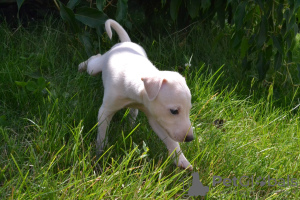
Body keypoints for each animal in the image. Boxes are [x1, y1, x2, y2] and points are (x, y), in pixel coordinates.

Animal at [78, 19, 193, 169]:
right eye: (174, 111)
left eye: (189, 110)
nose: (190, 138)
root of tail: (126, 43)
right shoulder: (105, 110)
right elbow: (102, 135)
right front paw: (100, 156)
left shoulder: (154, 115)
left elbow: (170, 140)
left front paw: (182, 160)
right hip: (95, 67)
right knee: (94, 59)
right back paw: (81, 66)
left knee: (133, 112)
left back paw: (130, 126)